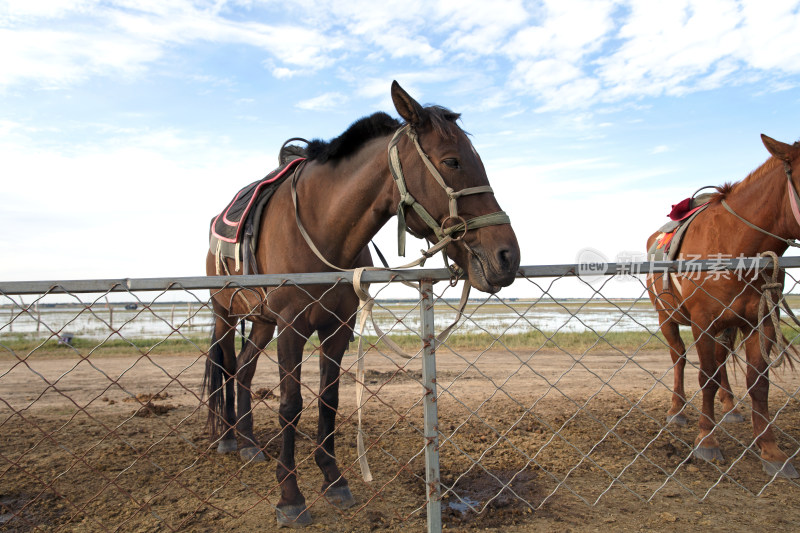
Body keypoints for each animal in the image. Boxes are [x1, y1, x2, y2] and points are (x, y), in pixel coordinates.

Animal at [203, 81, 520, 524]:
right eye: (452, 161)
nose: (507, 256)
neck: (321, 228)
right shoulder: (292, 326)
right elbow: (290, 404)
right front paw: (290, 496)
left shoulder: (337, 327)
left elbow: (329, 400)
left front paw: (333, 478)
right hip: (225, 315)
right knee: (225, 365)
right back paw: (230, 440)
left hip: (262, 321)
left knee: (245, 369)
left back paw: (248, 442)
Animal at [644, 134, 800, 478]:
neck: (737, 245)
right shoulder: (702, 321)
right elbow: (707, 378)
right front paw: (707, 440)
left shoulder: (761, 321)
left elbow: (759, 383)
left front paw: (771, 451)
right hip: (666, 317)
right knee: (680, 357)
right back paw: (677, 410)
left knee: (723, 358)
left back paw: (730, 407)